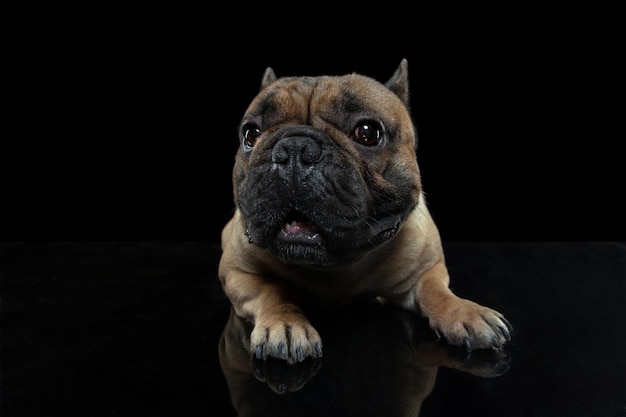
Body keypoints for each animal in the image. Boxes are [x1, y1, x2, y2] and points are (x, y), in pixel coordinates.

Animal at [217, 58, 510, 364]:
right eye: (251, 134)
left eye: (368, 133)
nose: (295, 149)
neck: (337, 267)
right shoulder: (238, 272)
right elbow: (272, 292)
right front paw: (285, 324)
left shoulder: (426, 269)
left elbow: (436, 291)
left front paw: (464, 312)